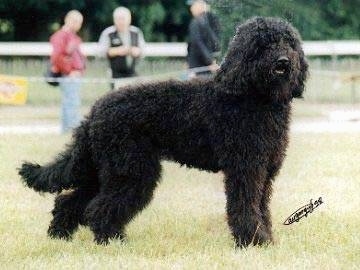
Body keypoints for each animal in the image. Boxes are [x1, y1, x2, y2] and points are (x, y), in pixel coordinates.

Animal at [18, 16, 308, 248]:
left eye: (289, 43)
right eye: (263, 45)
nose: (283, 61)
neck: (253, 97)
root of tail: (95, 112)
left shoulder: (265, 170)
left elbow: (261, 207)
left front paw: (266, 239)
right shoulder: (245, 169)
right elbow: (245, 206)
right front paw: (253, 241)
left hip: (105, 169)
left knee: (70, 201)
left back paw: (60, 236)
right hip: (131, 170)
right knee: (98, 209)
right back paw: (112, 241)